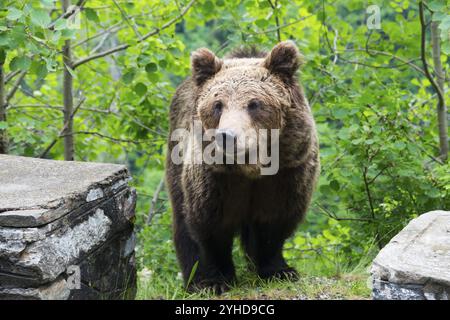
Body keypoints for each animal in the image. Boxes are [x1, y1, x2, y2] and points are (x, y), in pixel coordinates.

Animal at [166, 41, 320, 294]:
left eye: (254, 103)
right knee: (182, 220)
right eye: (218, 104)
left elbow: (273, 222)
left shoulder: (285, 173)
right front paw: (215, 281)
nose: (227, 136)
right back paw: (194, 279)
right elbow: (210, 226)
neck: (249, 169)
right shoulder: (214, 179)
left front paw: (280, 271)